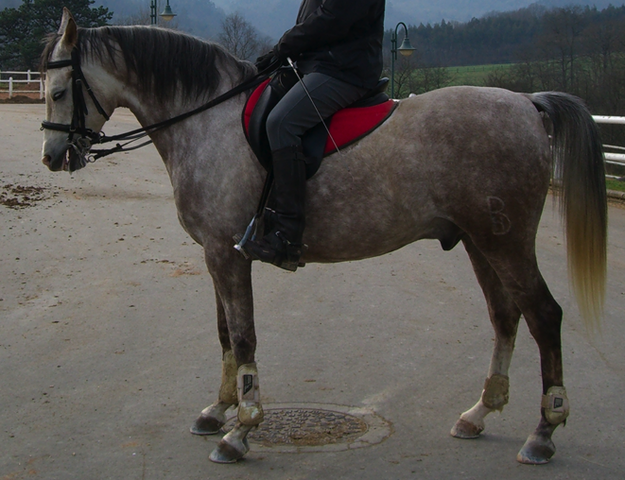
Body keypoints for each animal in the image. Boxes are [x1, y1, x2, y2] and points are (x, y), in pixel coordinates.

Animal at [39, 8, 604, 464]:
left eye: (61, 92)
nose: (52, 157)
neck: (208, 119)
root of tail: (528, 102)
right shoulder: (216, 253)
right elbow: (224, 332)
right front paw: (218, 410)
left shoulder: (228, 253)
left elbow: (243, 335)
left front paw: (241, 431)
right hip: (478, 242)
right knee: (505, 316)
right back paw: (479, 413)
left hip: (506, 243)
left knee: (543, 316)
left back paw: (544, 432)